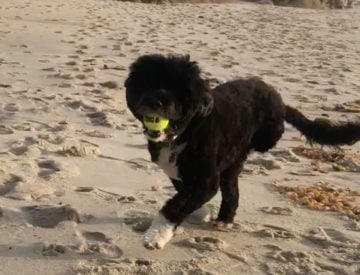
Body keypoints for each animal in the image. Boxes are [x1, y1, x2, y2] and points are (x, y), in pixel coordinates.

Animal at [125, 54, 360, 250]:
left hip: (267, 135)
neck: (185, 131)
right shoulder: (180, 172)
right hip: (232, 164)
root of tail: (280, 102)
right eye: (148, 83)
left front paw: (156, 235)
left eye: (179, 91)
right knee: (232, 189)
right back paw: (224, 219)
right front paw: (201, 212)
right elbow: (182, 193)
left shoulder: (205, 180)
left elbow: (176, 205)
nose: (155, 101)